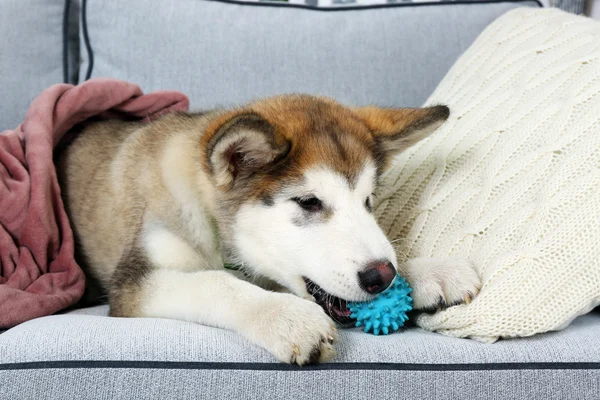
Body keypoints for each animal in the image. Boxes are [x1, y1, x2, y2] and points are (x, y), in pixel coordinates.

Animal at [56, 94, 478, 366]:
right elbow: (214, 282)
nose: (381, 276)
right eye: (309, 202)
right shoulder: (133, 283)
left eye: (368, 201)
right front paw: (287, 318)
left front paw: (430, 272)